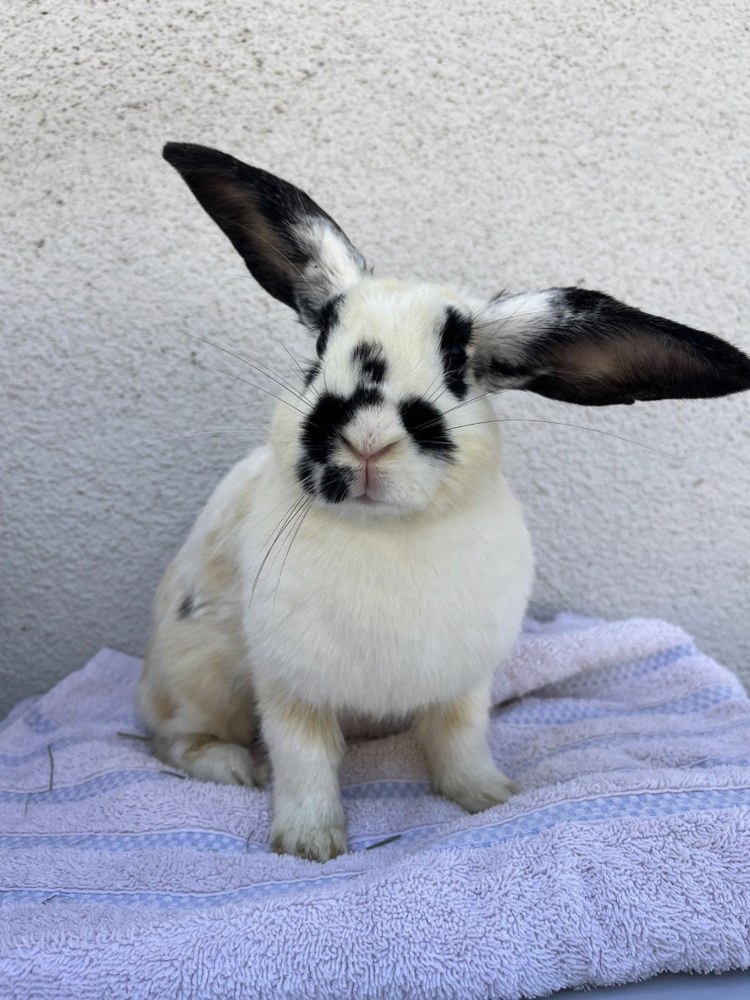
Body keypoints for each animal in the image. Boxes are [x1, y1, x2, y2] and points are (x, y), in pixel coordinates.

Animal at [138, 143, 750, 862]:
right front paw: (310, 844)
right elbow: (303, 759)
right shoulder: (289, 687)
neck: (387, 532)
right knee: (174, 738)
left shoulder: (463, 683)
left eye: (457, 363)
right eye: (318, 351)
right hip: (198, 672)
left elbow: (459, 741)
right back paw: (232, 766)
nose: (367, 439)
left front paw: (489, 797)